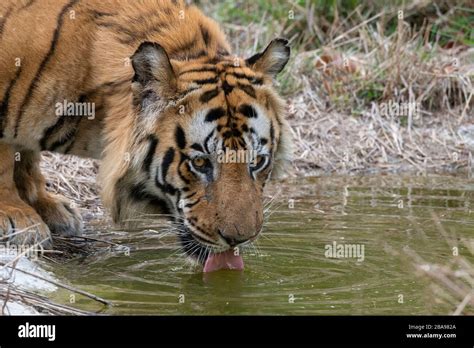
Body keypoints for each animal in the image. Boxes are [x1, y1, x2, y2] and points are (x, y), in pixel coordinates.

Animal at [0, 0, 290, 272]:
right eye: (199, 163)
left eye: (257, 161)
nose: (239, 240)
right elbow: (6, 162)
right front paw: (18, 218)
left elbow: (26, 158)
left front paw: (47, 208)